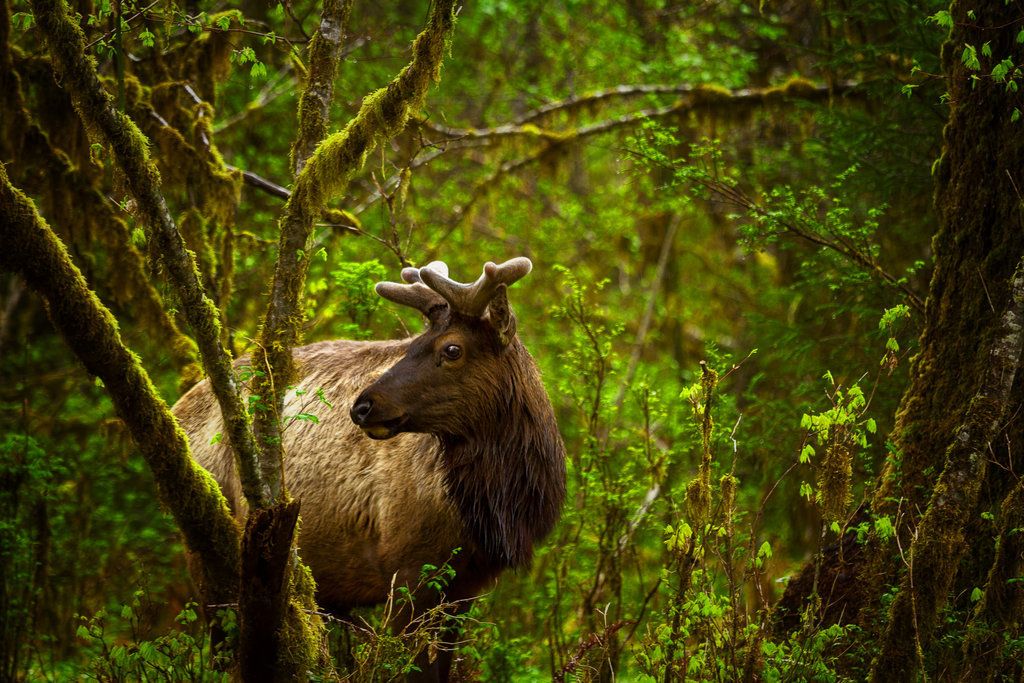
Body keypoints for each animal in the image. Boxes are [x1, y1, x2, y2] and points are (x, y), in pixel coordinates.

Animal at [172, 255, 565, 679]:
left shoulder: (467, 585)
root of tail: (182, 401)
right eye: (412, 344)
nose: (361, 406)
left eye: (452, 349)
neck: (498, 509)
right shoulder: (406, 568)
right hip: (205, 551)